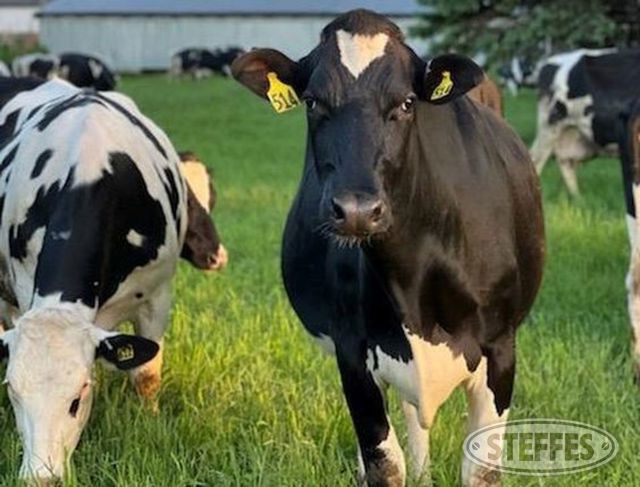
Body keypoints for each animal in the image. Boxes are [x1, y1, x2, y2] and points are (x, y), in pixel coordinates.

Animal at [0, 78, 226, 482]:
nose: (41, 478)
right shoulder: (24, 290)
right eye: (14, 392)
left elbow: (146, 373)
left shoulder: (157, 296)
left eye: (78, 397)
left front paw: (150, 422)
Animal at [232, 8, 544, 487]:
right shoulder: (353, 352)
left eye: (407, 102)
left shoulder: (500, 346)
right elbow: (384, 462)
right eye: (313, 102)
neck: (413, 276)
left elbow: (481, 469)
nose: (357, 210)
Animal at [528, 47, 640, 196]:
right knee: (536, 159)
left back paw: (577, 197)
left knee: (565, 161)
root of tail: (549, 62)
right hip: (550, 126)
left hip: (570, 132)